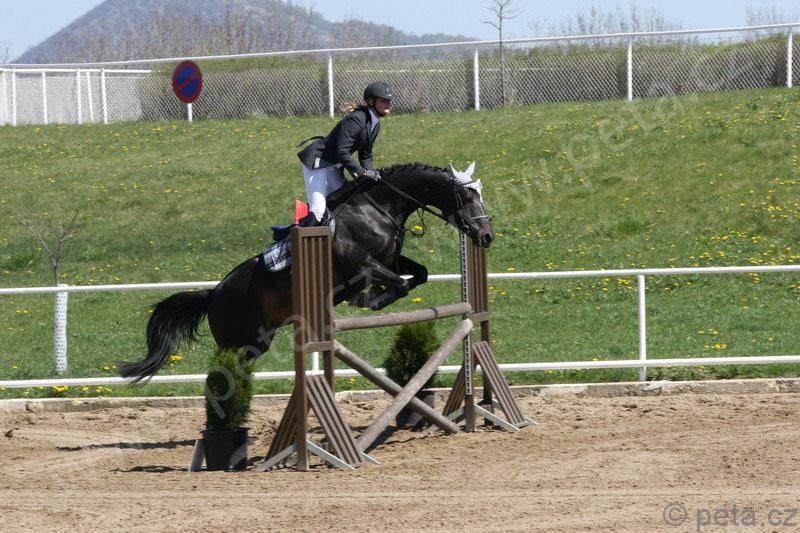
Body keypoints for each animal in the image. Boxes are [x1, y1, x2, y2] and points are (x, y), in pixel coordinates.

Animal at [120, 162, 495, 382]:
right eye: (465, 196)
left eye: (480, 193)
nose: (486, 236)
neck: (378, 206)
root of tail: (213, 294)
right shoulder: (363, 265)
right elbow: (397, 286)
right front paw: (366, 300)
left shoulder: (391, 261)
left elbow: (419, 274)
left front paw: (372, 296)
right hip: (245, 343)